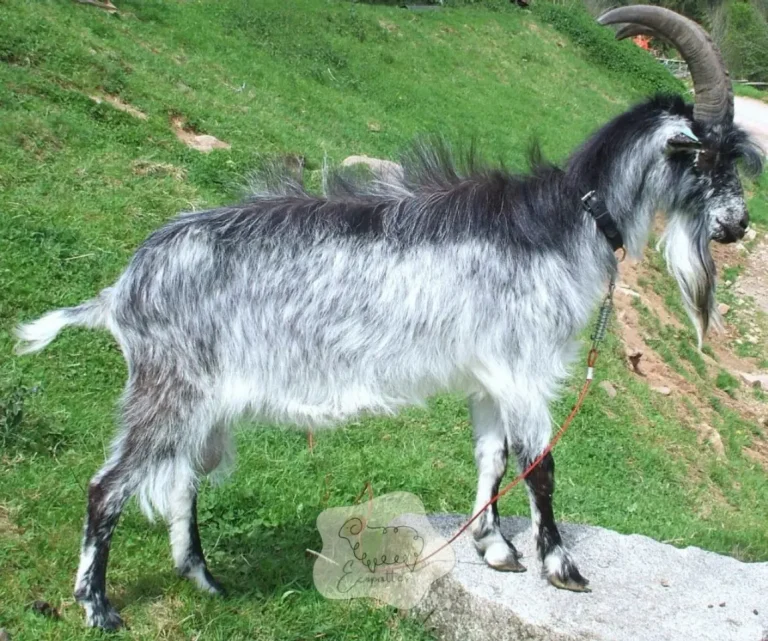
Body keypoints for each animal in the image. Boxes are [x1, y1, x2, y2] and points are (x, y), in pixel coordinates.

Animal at [14, 6, 763, 630]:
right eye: (709, 156)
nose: (736, 226)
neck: (565, 219)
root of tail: (121, 287)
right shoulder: (523, 368)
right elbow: (540, 463)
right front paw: (562, 566)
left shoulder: (489, 373)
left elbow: (491, 455)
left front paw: (494, 548)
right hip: (169, 385)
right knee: (106, 487)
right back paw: (98, 607)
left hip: (202, 397)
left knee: (182, 480)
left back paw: (205, 580)